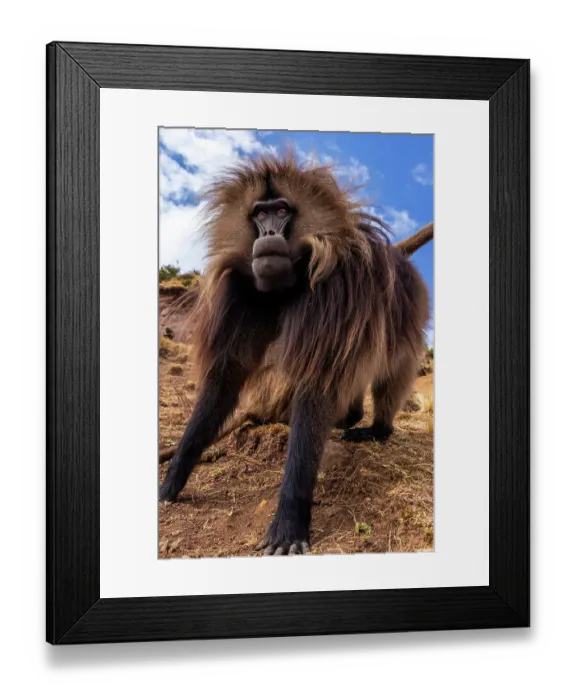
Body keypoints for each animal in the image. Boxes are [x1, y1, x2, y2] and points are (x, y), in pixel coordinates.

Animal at [159, 154, 431, 556]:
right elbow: (226, 380)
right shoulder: (243, 294)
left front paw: (288, 522)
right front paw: (172, 478)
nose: (268, 234)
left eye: (282, 210)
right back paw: (349, 416)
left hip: (407, 311)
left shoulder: (328, 293)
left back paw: (377, 428)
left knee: (390, 372)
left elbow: (315, 385)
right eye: (260, 213)